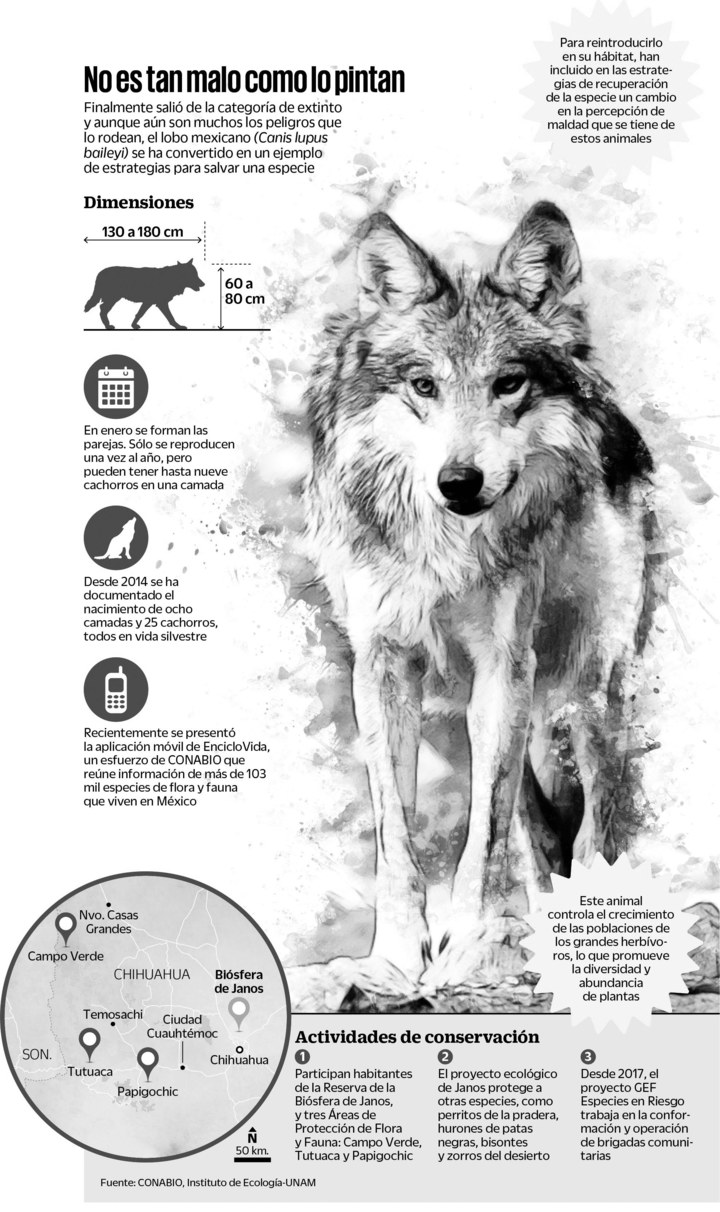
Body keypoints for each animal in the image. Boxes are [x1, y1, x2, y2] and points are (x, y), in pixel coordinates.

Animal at [303, 201, 654, 986]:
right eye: (423, 386)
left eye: (509, 383)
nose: (459, 483)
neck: (446, 548)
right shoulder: (382, 665)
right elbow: (398, 838)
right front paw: (395, 960)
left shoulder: (505, 662)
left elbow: (483, 836)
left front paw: (467, 949)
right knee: (530, 830)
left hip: (583, 686)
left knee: (598, 811)